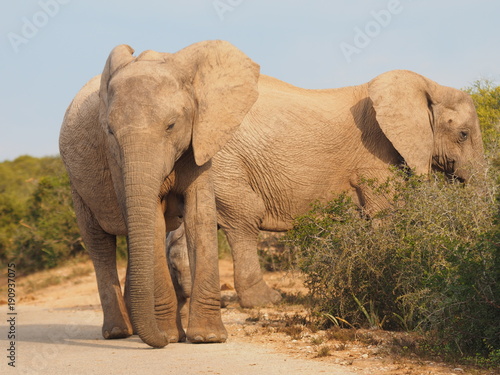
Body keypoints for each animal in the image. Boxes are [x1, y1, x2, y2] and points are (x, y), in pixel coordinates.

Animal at [59, 39, 262, 348]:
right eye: (109, 131)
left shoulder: (201, 138)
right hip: (77, 187)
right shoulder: (116, 160)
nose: (161, 341)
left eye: (171, 125)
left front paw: (208, 338)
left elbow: (200, 214)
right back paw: (119, 332)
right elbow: (151, 220)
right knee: (100, 245)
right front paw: (170, 336)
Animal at [167, 69, 484, 310]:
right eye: (463, 134)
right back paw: (266, 300)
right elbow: (387, 216)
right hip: (221, 159)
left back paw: (197, 299)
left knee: (199, 222)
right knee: (244, 217)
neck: (428, 85)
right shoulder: (376, 156)